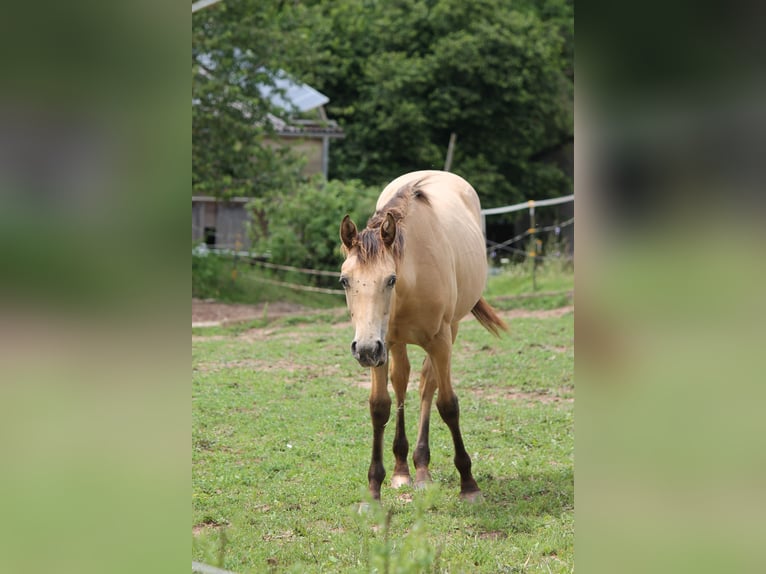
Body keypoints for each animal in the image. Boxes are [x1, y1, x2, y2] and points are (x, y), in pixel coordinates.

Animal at [340, 169, 508, 502]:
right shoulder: (382, 345)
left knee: (427, 385)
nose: (363, 350)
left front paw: (469, 485)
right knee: (402, 381)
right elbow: (379, 407)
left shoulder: (439, 340)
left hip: (448, 331)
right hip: (393, 344)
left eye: (390, 279)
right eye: (344, 280)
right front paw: (374, 489)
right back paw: (403, 469)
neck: (412, 277)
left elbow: (448, 404)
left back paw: (421, 469)